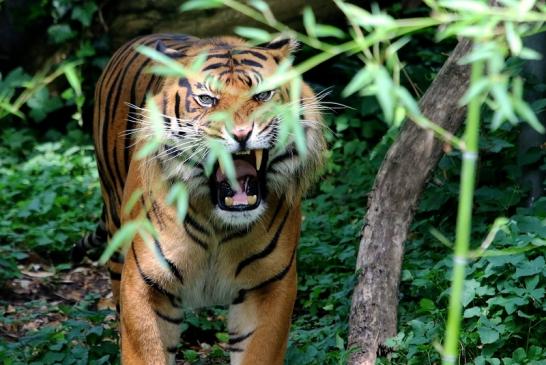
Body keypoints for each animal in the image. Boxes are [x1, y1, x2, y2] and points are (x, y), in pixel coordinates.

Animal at [75, 32, 326, 362]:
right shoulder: (143, 283)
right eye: (207, 99)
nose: (242, 134)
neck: (218, 224)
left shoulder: (270, 283)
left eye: (262, 96)